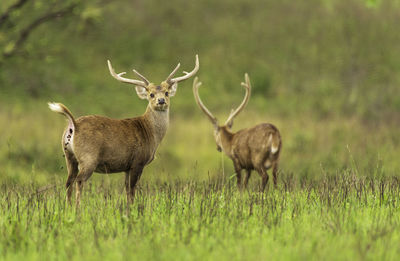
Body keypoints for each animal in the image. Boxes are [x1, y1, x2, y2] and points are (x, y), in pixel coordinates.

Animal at [48, 54, 200, 205]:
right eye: (151, 94)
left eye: (167, 92)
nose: (161, 100)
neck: (150, 132)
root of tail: (73, 125)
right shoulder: (138, 161)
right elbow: (132, 190)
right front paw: (132, 209)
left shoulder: (127, 166)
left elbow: (126, 189)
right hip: (88, 156)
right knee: (79, 181)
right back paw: (78, 208)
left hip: (69, 156)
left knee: (68, 182)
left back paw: (68, 207)